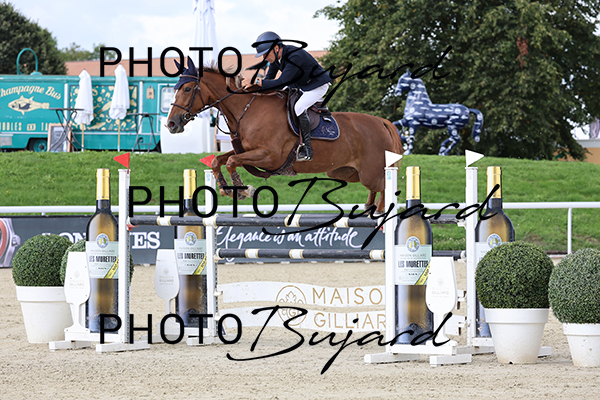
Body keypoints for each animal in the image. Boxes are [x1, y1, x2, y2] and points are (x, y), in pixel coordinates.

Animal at [166, 57, 403, 213]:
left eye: (187, 89)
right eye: (175, 89)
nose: (171, 124)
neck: (247, 110)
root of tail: (381, 121)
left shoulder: (270, 156)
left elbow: (232, 161)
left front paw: (245, 190)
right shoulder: (246, 150)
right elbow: (218, 160)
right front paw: (229, 190)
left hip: (369, 172)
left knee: (385, 187)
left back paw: (380, 212)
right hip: (346, 172)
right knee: (376, 190)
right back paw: (370, 207)